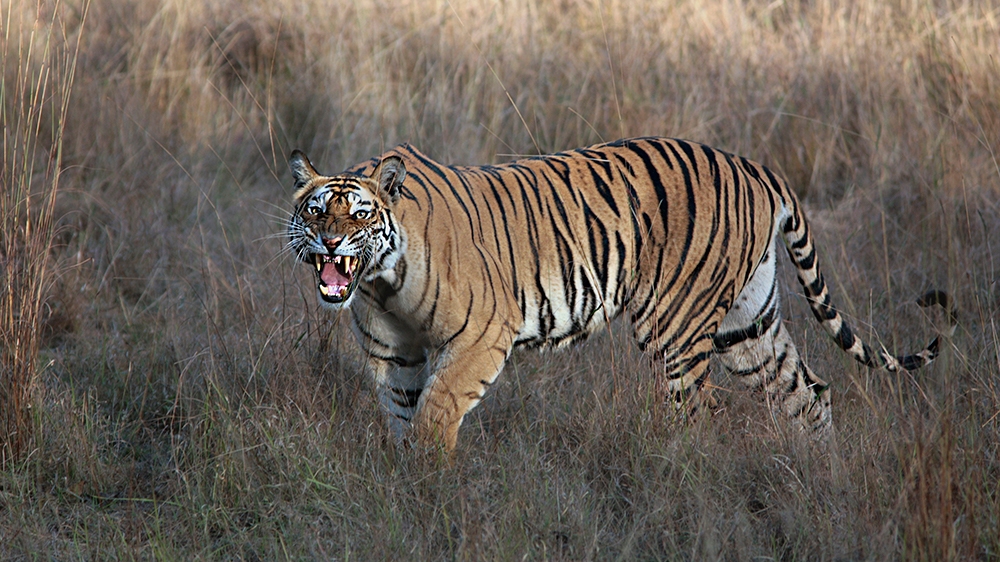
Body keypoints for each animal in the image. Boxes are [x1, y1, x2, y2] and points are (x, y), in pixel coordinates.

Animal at [286, 137, 953, 452]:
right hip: (748, 324)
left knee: (700, 414)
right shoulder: (393, 355)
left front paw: (435, 492)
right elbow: (403, 420)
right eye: (317, 210)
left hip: (675, 327)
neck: (380, 282)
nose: (329, 243)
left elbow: (433, 419)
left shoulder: (479, 339)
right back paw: (817, 476)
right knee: (808, 392)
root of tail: (754, 166)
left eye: (359, 215)